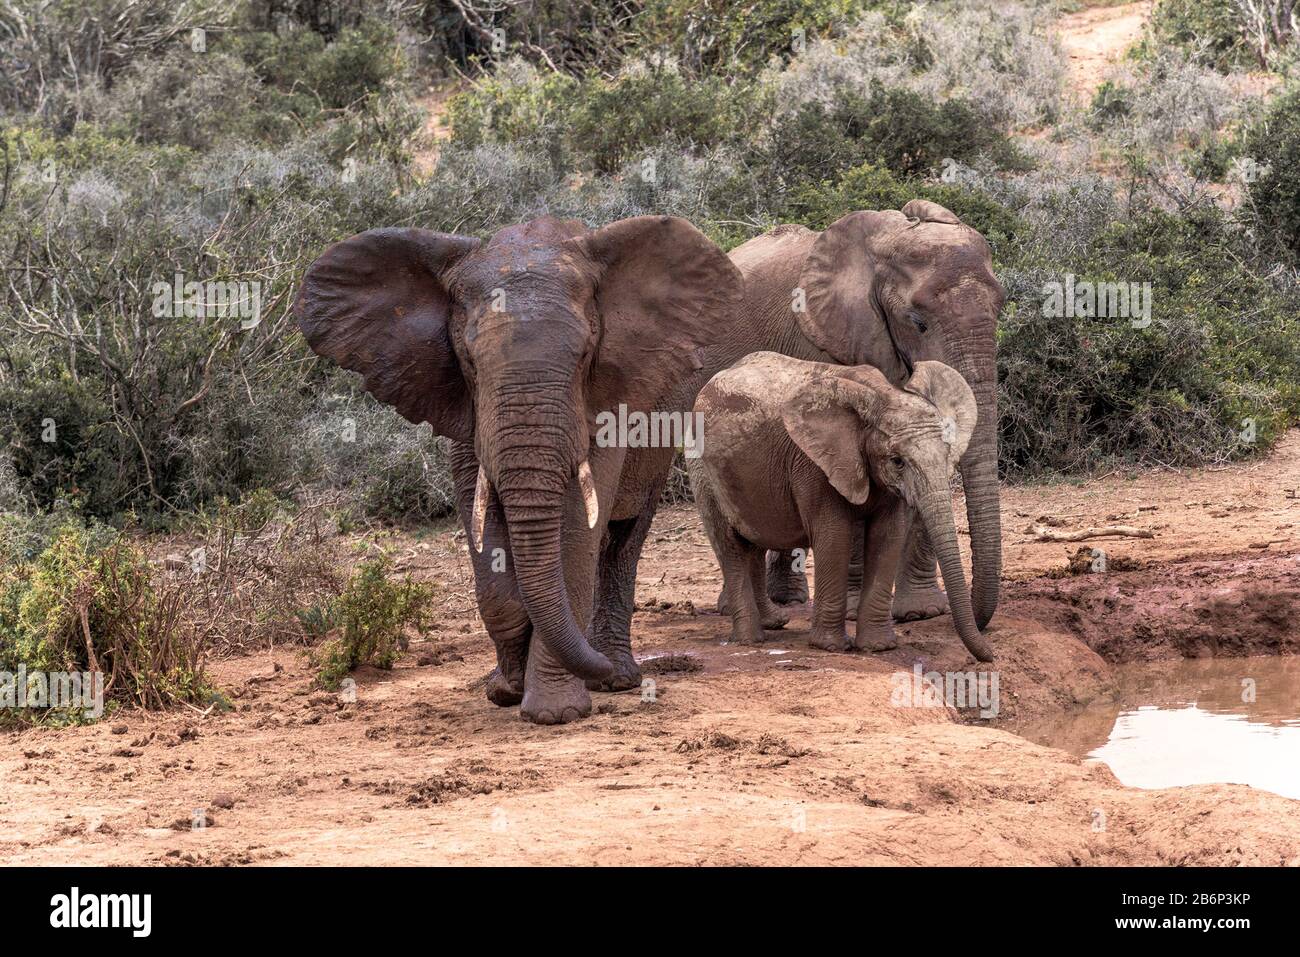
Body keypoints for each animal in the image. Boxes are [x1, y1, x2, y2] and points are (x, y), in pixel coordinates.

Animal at [295, 214, 743, 722]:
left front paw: (555, 712)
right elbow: (485, 536)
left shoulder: (604, 402)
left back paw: (614, 677)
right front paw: (505, 688)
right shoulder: (465, 410)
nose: (602, 667)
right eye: (469, 360)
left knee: (623, 538)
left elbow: (576, 536)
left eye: (586, 354)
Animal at [686, 348, 987, 657]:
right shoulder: (814, 465)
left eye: (947, 453)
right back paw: (749, 639)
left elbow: (888, 536)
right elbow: (834, 535)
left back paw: (774, 623)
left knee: (753, 542)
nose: (986, 657)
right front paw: (830, 646)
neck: (882, 395)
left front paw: (878, 647)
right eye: (897, 461)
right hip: (702, 470)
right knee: (730, 545)